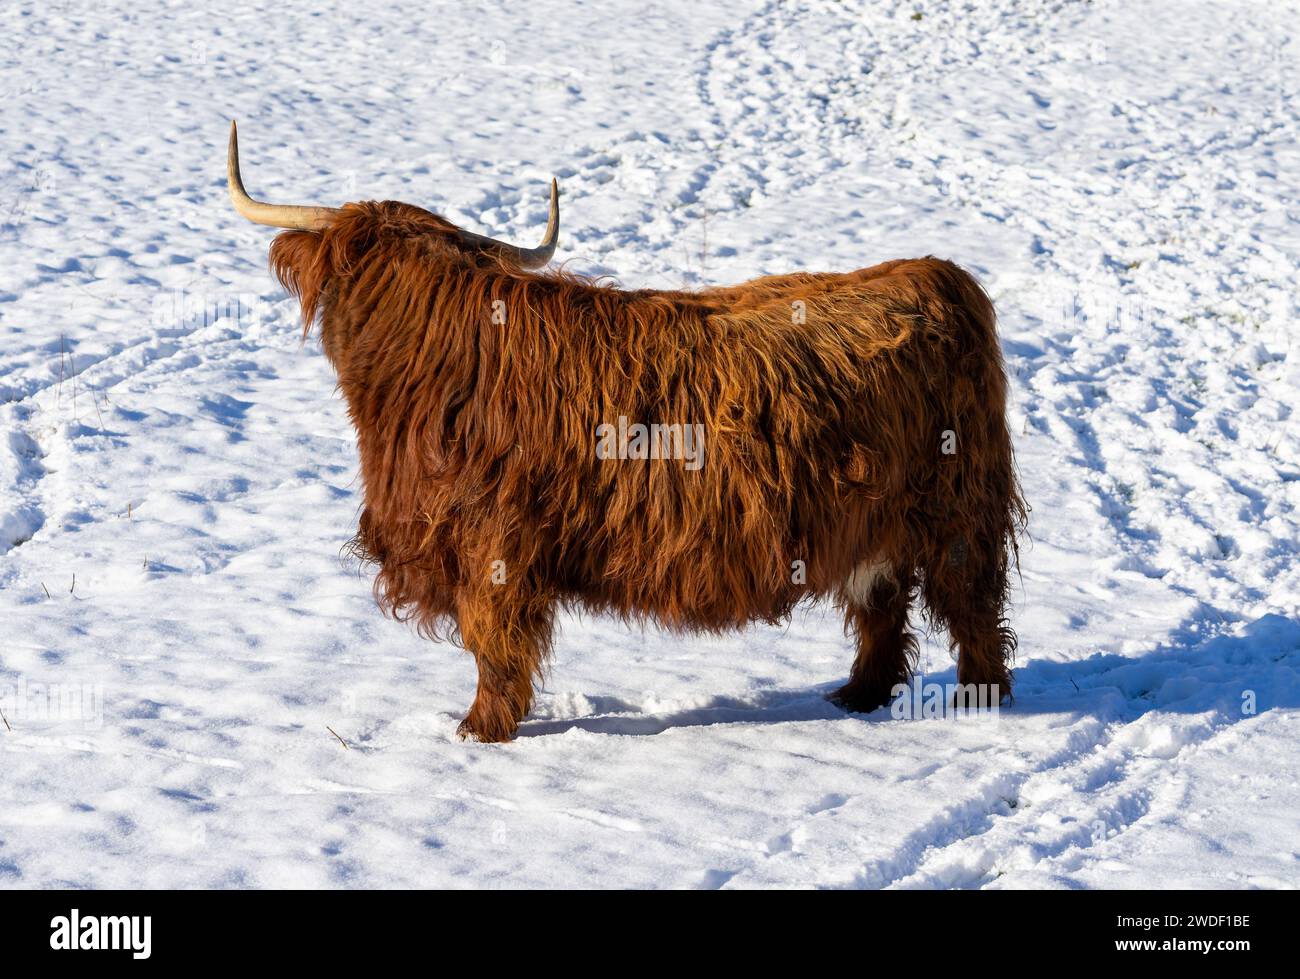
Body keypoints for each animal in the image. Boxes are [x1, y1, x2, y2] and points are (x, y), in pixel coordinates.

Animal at [226, 121, 1027, 743]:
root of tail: (936, 275)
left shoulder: (492, 545)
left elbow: (493, 642)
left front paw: (480, 729)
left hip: (958, 510)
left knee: (971, 607)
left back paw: (977, 700)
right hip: (873, 518)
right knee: (882, 605)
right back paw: (858, 695)